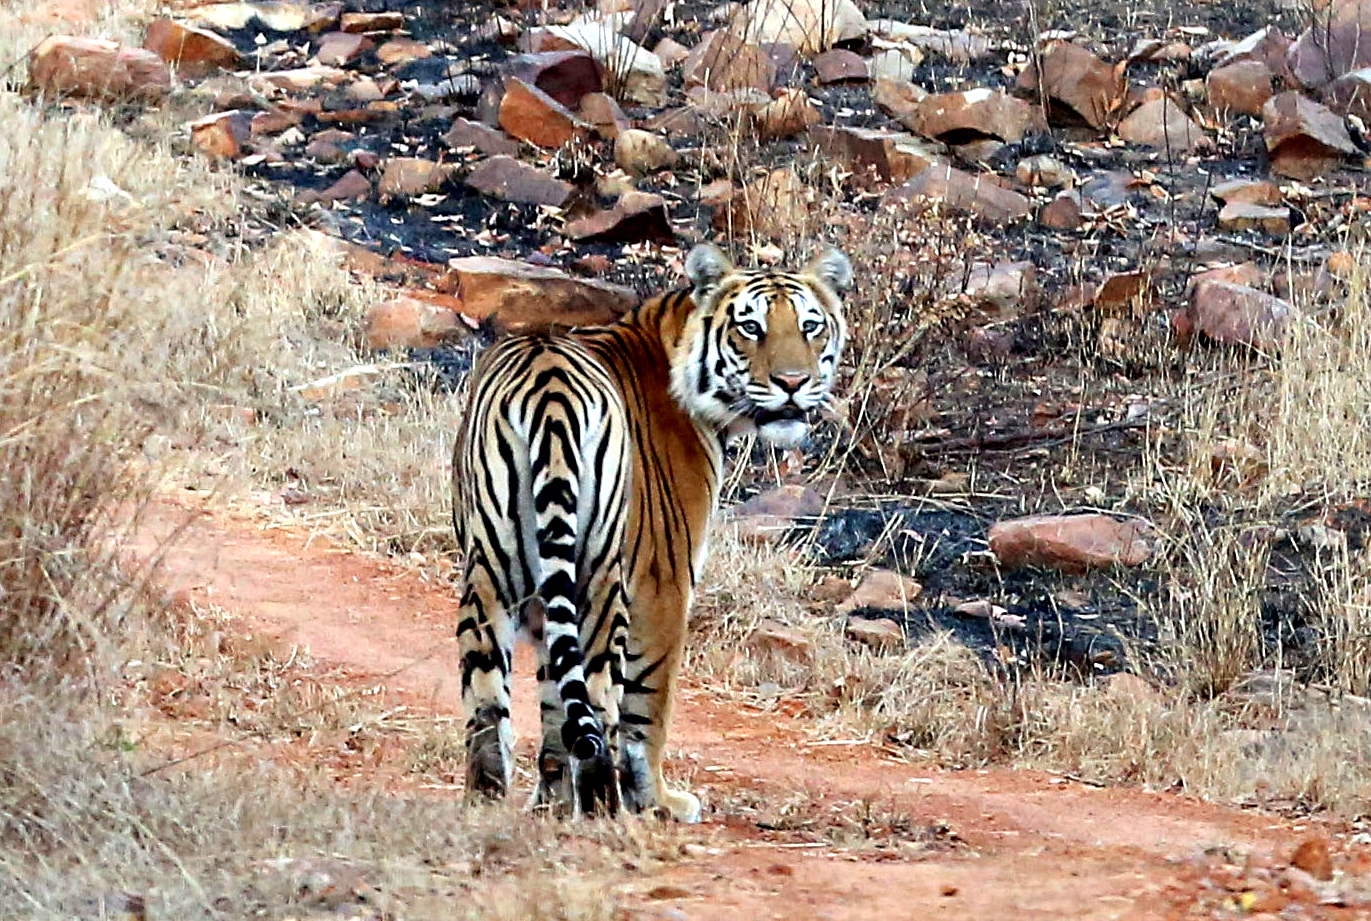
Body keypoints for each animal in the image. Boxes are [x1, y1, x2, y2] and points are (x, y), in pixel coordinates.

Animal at [455, 239, 850, 822]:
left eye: (810, 326)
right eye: (751, 327)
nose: (793, 385)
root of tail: (549, 384)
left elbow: (552, 707)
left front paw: (550, 804)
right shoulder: (666, 582)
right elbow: (648, 707)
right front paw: (657, 800)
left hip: (491, 570)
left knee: (487, 702)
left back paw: (484, 802)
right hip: (599, 576)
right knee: (599, 699)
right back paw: (604, 808)